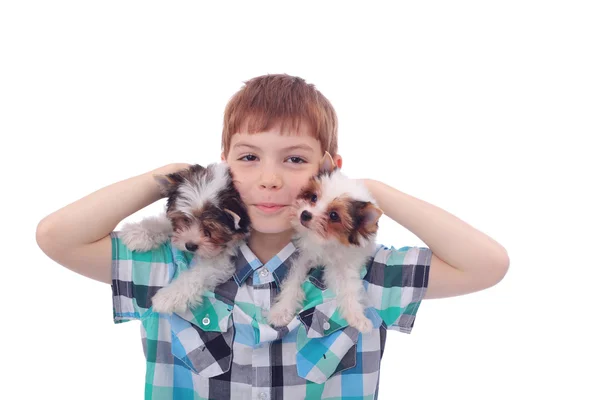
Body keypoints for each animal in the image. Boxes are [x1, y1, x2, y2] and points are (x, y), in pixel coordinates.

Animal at [268, 152, 382, 332]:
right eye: (314, 197)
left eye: (334, 215)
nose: (305, 214)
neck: (327, 241)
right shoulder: (305, 254)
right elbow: (294, 278)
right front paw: (282, 311)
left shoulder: (347, 260)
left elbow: (349, 287)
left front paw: (358, 317)